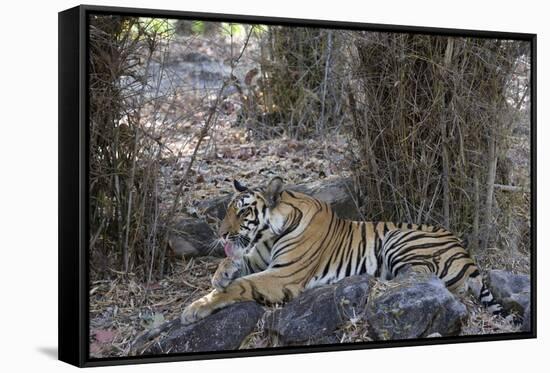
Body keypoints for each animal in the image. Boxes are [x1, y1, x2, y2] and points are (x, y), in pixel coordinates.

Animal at [182, 176, 504, 324]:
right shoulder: (260, 258)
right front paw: (220, 275)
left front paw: (194, 308)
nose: (221, 233)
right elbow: (236, 263)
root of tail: (468, 255)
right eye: (227, 210)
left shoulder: (282, 275)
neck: (270, 235)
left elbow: (241, 286)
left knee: (419, 277)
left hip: (399, 238)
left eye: (243, 211)